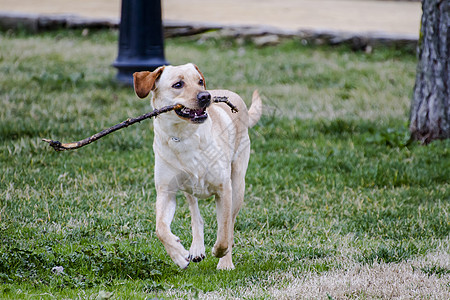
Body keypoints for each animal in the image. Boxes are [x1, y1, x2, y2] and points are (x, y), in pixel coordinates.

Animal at [132, 62, 262, 270]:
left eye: (200, 81)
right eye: (178, 84)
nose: (206, 96)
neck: (184, 135)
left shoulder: (224, 189)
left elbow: (224, 231)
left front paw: (221, 255)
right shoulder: (166, 191)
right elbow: (161, 229)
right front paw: (178, 255)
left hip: (238, 184)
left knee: (230, 224)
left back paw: (225, 260)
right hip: (188, 189)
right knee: (196, 215)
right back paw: (196, 248)